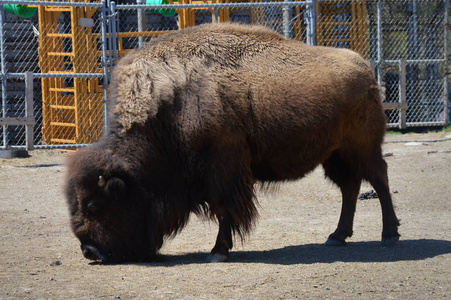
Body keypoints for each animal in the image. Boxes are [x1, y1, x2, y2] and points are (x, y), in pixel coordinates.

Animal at [65, 22, 400, 262]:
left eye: (94, 204)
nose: (90, 252)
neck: (169, 110)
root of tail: (364, 69)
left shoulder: (223, 169)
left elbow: (224, 209)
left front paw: (218, 251)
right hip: (335, 154)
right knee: (350, 187)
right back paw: (336, 236)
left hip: (362, 148)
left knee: (379, 179)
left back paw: (389, 235)